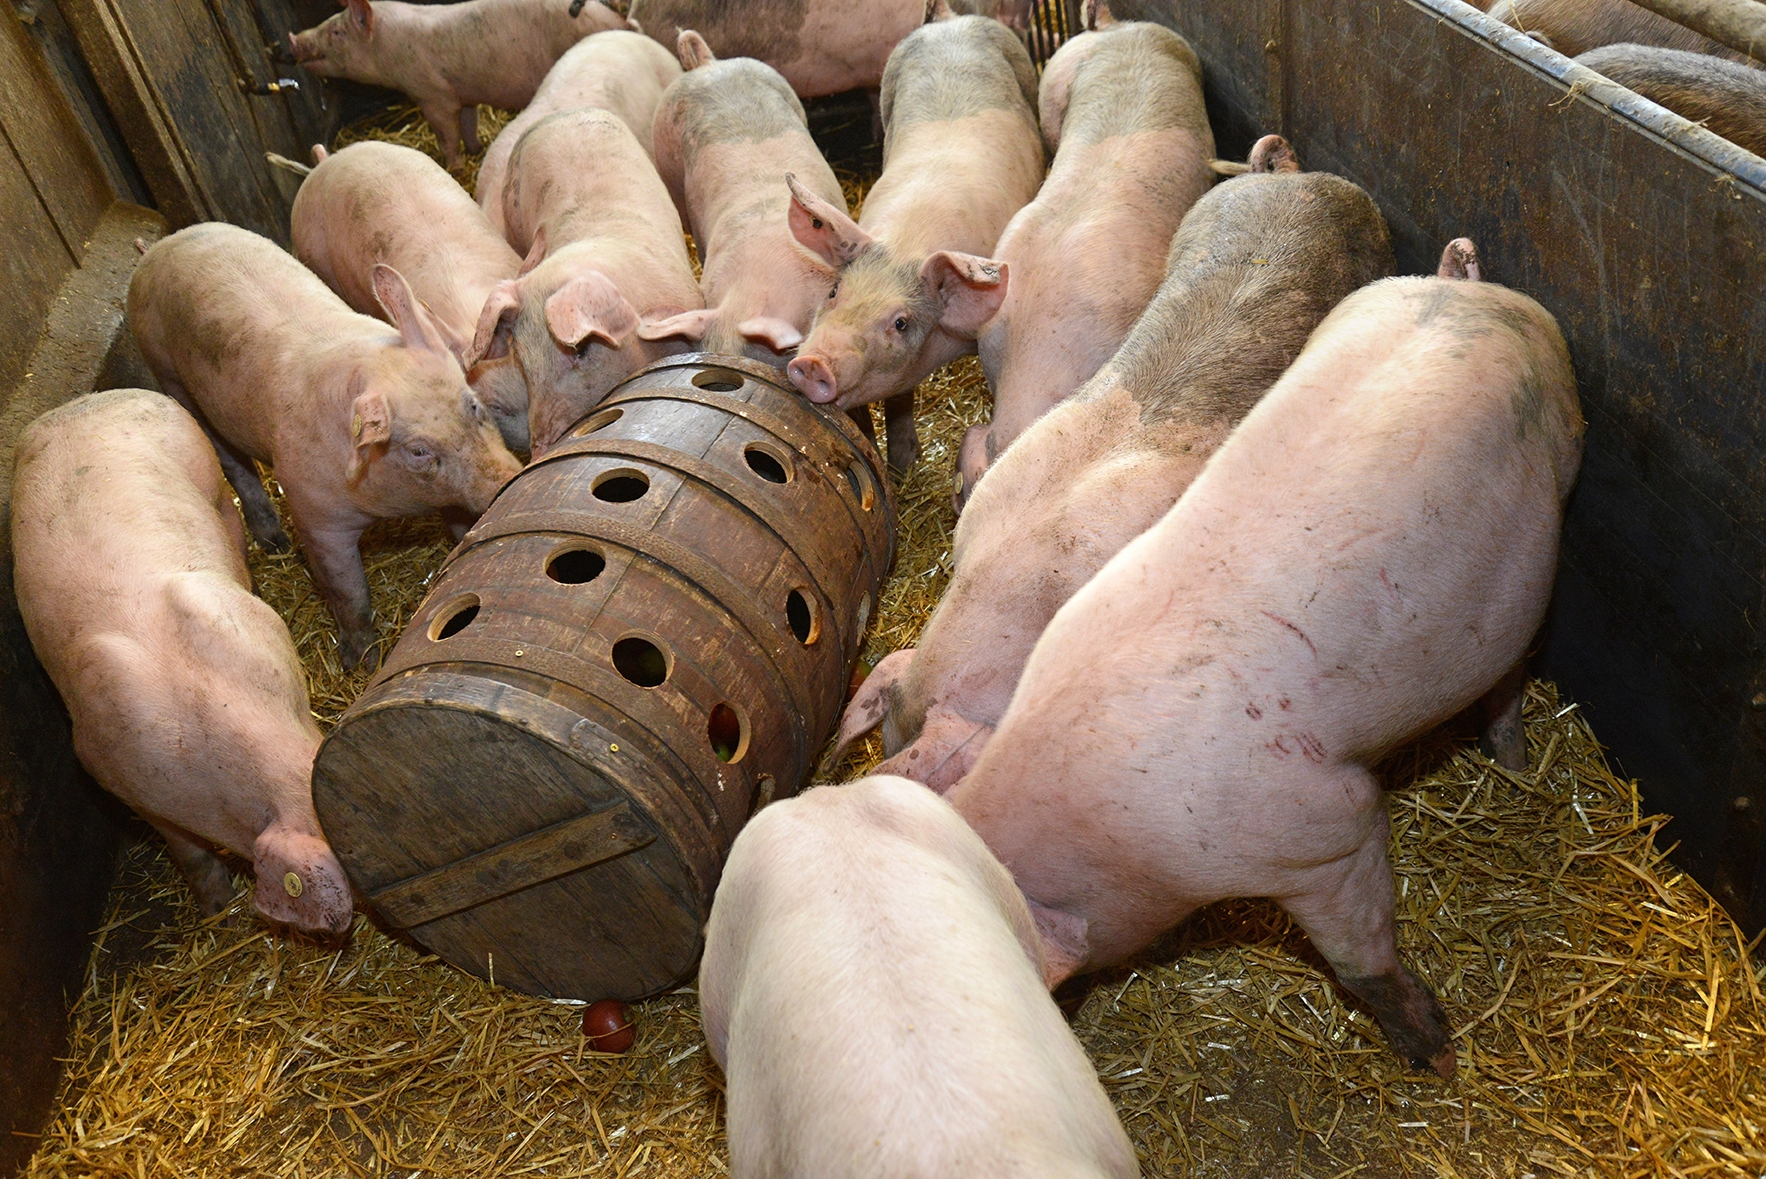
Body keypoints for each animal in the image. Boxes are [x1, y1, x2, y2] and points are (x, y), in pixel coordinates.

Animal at [129, 223, 523, 670]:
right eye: (419, 450)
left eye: (473, 405)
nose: (510, 480)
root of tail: (159, 246)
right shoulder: (315, 517)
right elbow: (349, 594)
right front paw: (359, 663)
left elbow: (462, 526)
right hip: (169, 373)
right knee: (233, 461)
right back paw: (275, 543)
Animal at [286, 0, 636, 168]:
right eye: (330, 22)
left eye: (336, 33)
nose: (293, 38)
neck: (390, 47)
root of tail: (614, 16)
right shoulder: (463, 92)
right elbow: (469, 122)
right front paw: (476, 149)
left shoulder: (432, 94)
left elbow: (446, 133)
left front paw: (453, 166)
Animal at [784, 14, 1044, 471]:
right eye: (833, 291)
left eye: (901, 323)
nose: (813, 363)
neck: (907, 242)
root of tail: (951, 19)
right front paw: (899, 464)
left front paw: (906, 464)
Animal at [946, 241, 1585, 1079]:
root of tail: (1464, 288)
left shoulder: (1325, 829)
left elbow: (1359, 956)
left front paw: (1438, 1057)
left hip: (1563, 443)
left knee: (1514, 665)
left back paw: (1510, 760)